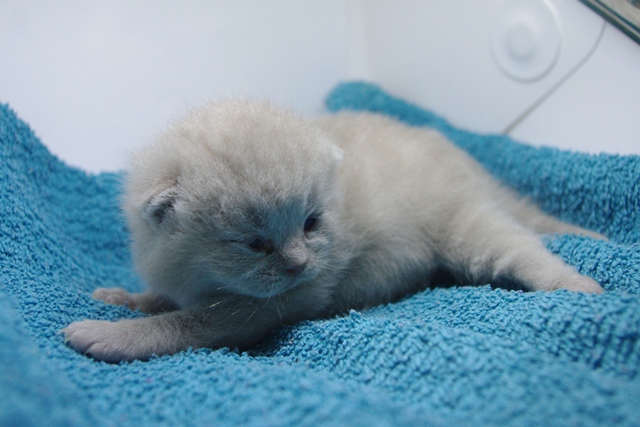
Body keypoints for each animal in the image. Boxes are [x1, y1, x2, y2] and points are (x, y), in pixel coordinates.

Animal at [63, 99, 604, 362]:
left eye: (311, 223)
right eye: (254, 243)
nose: (300, 263)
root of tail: (469, 164)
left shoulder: (273, 304)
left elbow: (188, 323)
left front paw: (111, 335)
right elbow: (168, 300)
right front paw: (128, 298)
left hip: (462, 223)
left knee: (520, 247)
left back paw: (579, 285)